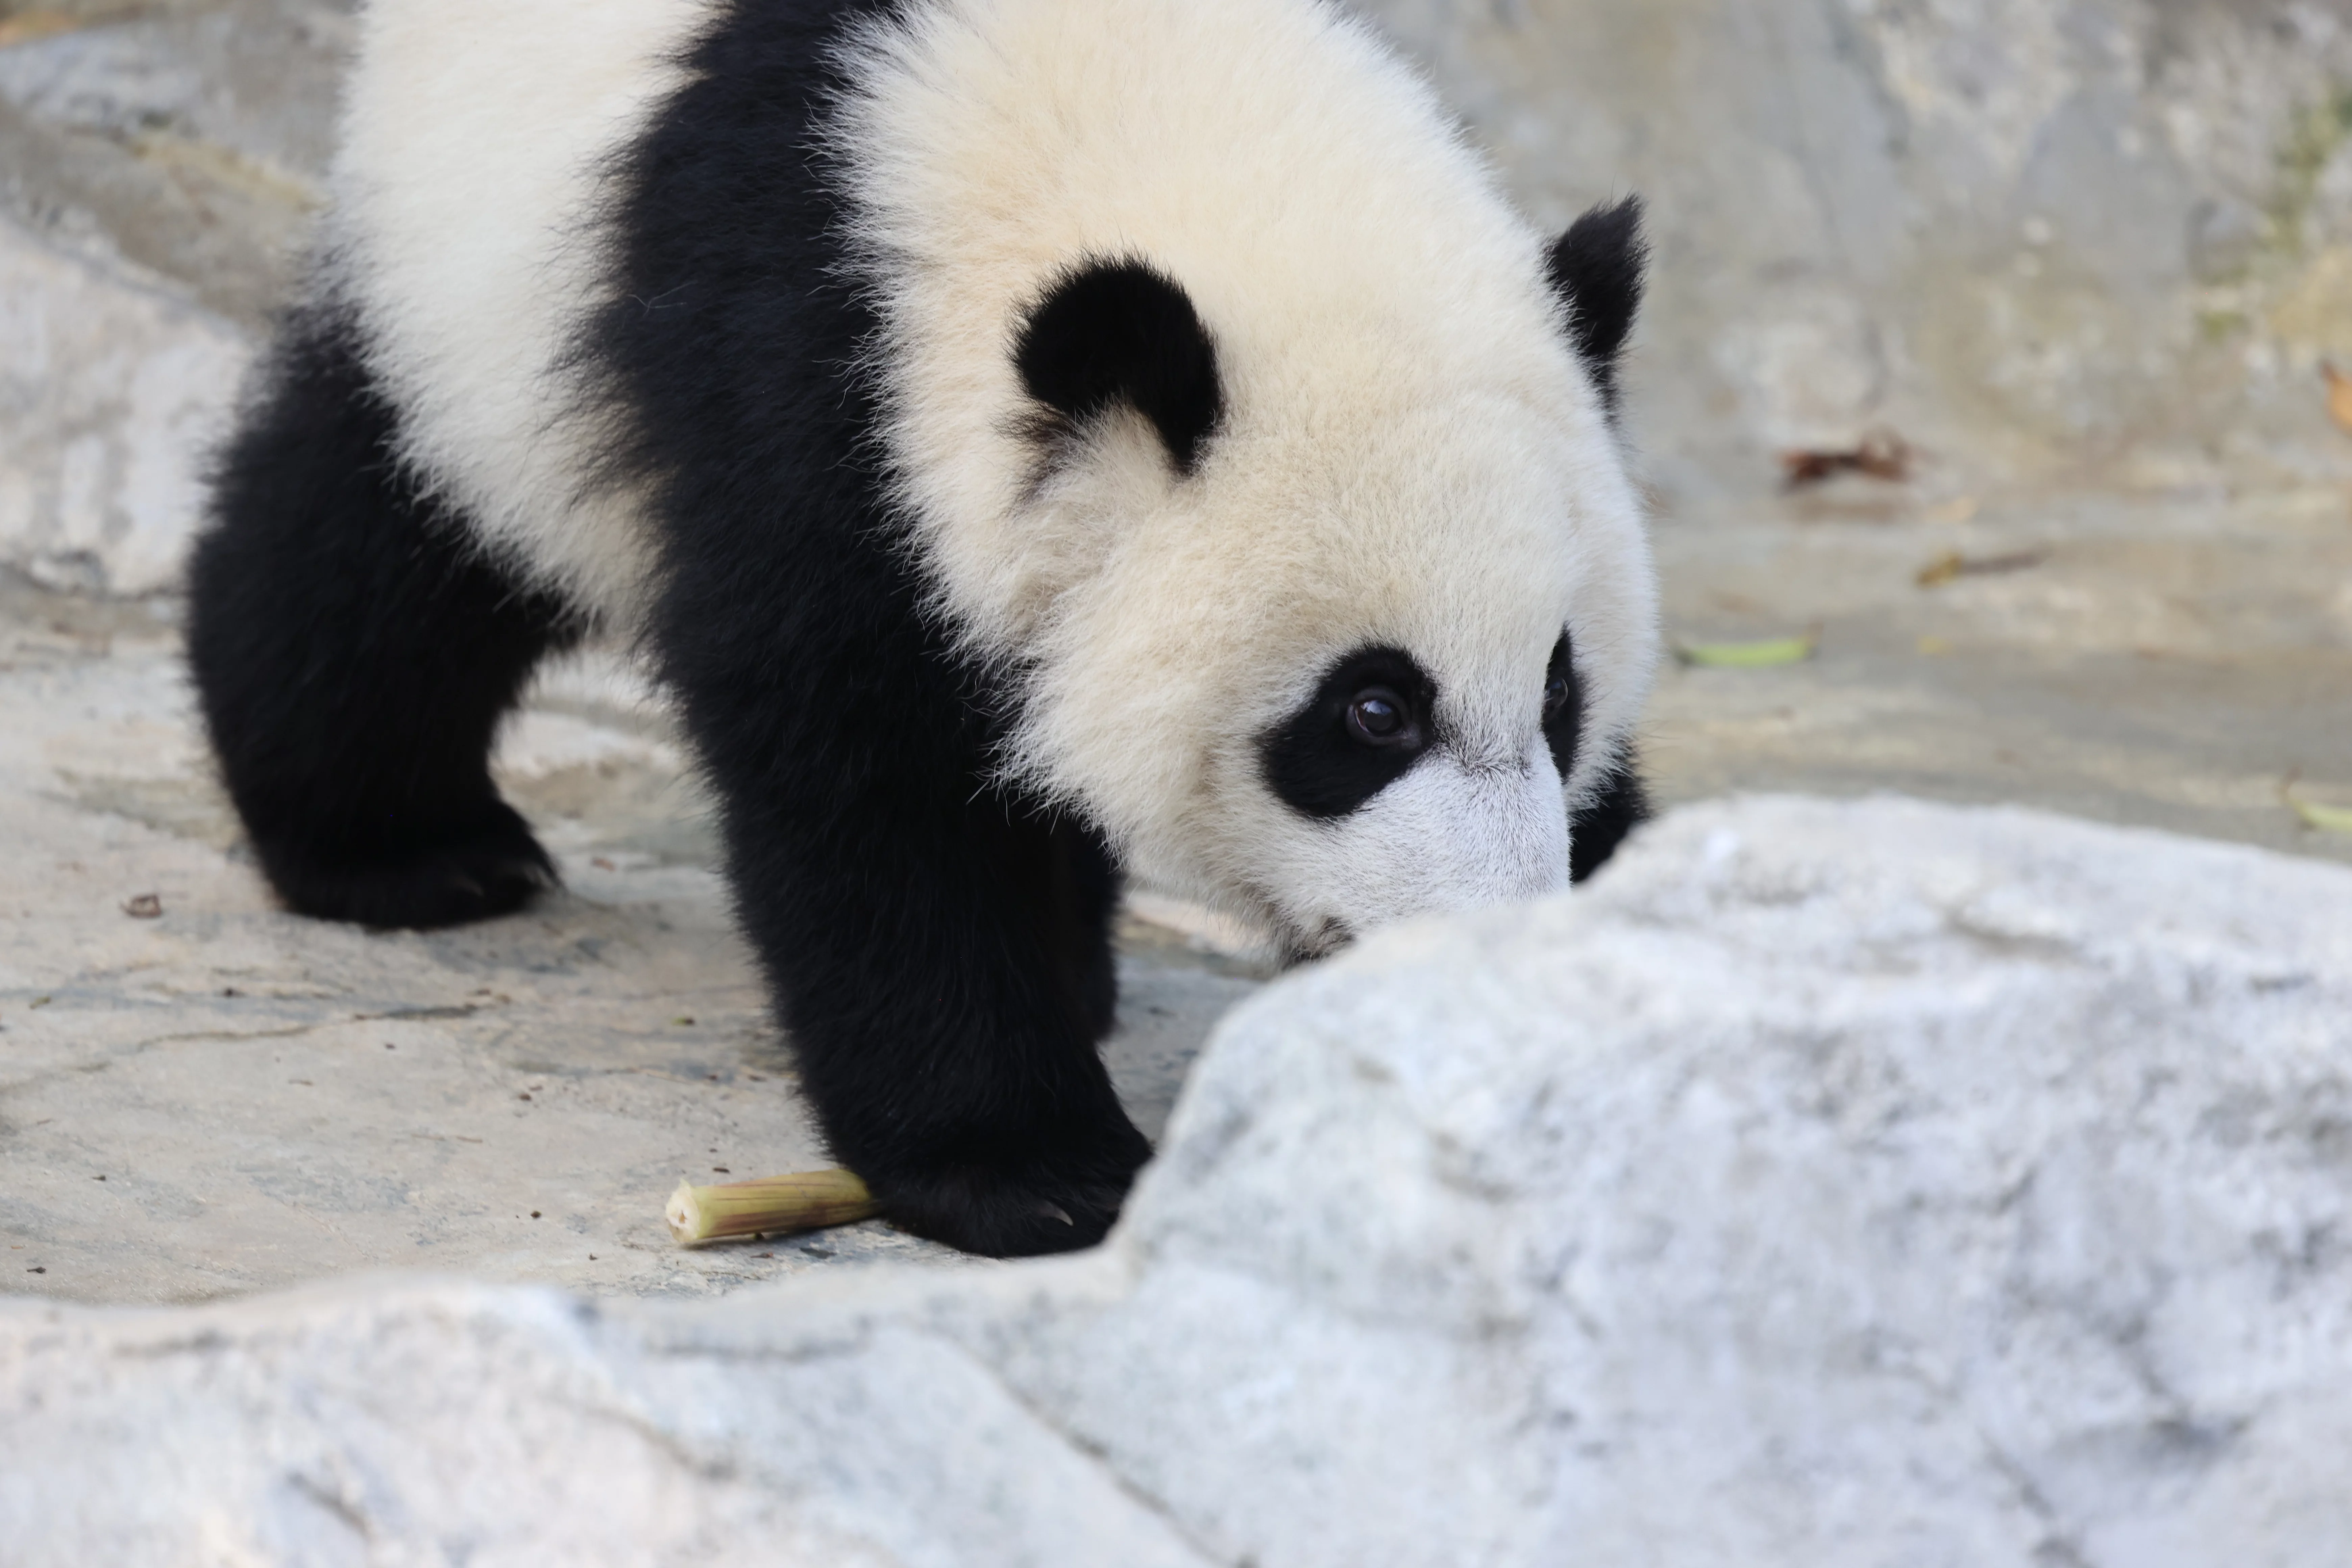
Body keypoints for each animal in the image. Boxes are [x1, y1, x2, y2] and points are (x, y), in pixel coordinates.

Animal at [186, 0, 1661, 1257]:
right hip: (475, 264)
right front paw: (1030, 1171)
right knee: (394, 536)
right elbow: (860, 775)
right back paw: (402, 847)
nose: (1489, 950)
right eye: (1372, 711)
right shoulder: (810, 362)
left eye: (1560, 692)